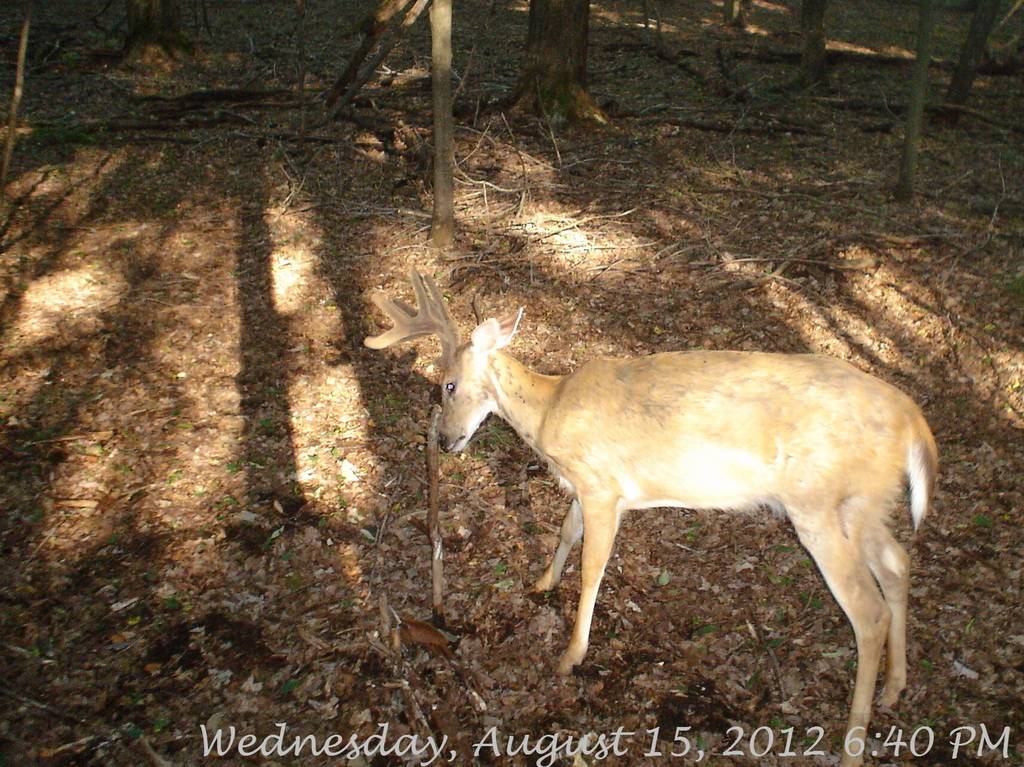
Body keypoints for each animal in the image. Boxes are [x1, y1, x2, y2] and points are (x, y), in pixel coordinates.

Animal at [366, 270, 937, 765]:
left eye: (448, 385)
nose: (444, 440)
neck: (549, 411)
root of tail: (914, 422)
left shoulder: (602, 486)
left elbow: (592, 568)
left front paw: (571, 655)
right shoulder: (589, 487)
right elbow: (566, 532)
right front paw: (542, 582)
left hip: (817, 504)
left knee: (868, 612)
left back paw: (852, 746)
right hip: (864, 504)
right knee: (898, 563)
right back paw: (895, 687)